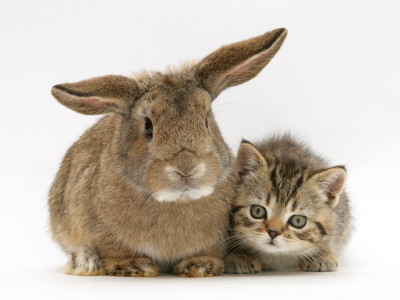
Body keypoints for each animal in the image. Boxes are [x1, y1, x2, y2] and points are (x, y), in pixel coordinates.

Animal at [49, 27, 288, 276]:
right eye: (148, 126)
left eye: (206, 121)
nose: (186, 168)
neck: (178, 200)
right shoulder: (102, 233)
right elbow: (114, 250)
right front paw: (133, 267)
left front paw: (201, 265)